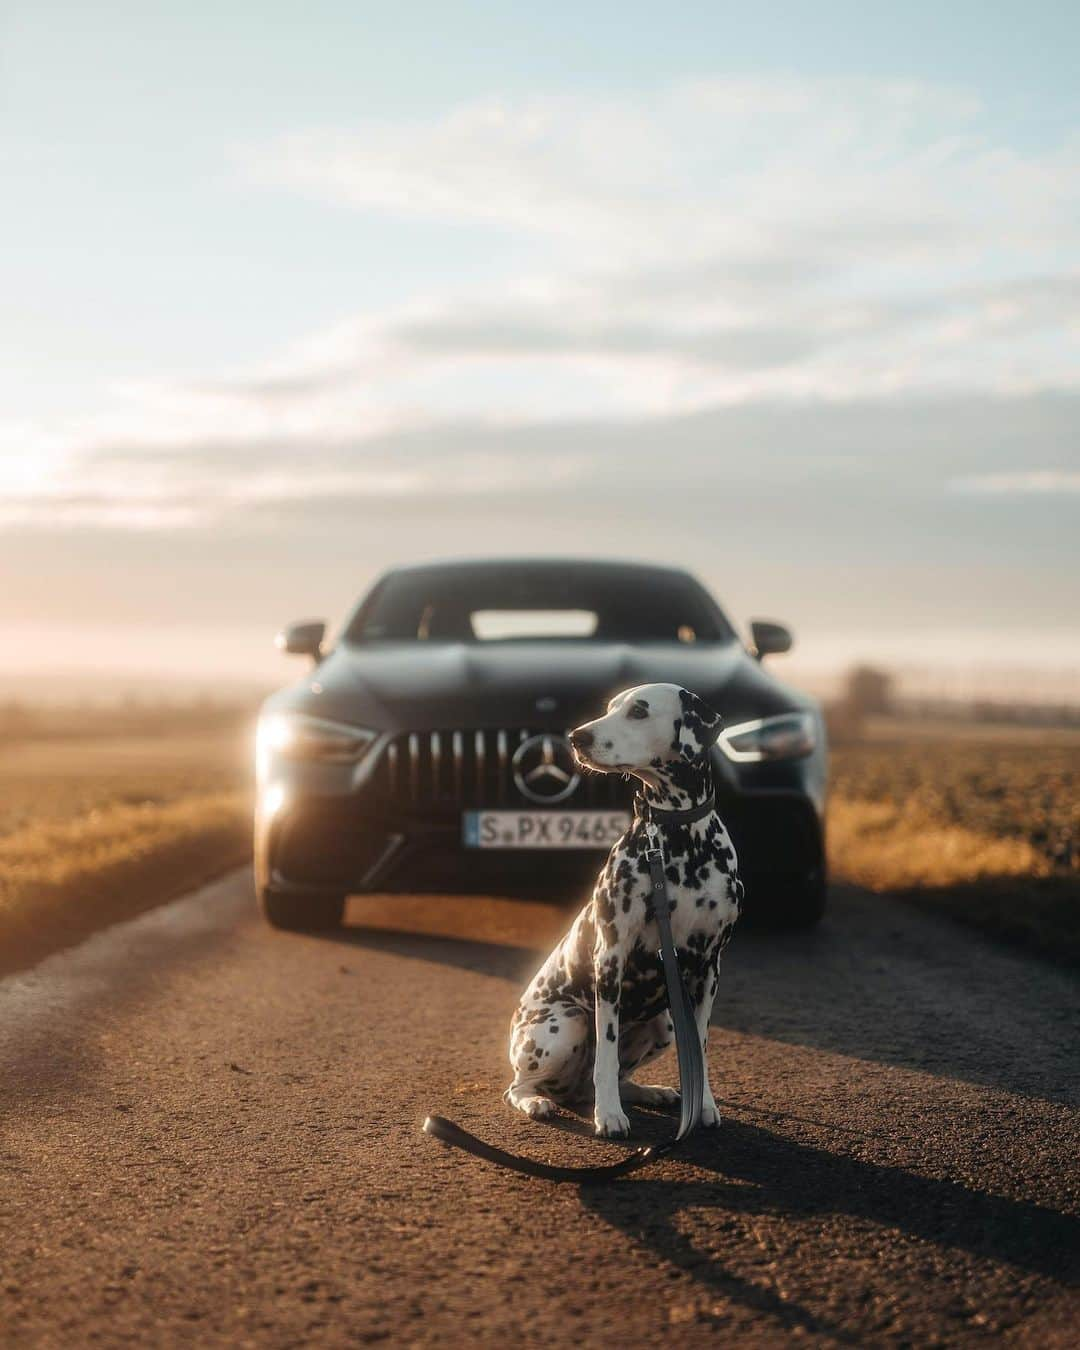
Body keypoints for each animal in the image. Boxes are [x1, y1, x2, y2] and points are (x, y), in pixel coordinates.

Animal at [507, 680, 745, 1134]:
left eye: (639, 710)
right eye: (609, 707)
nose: (575, 738)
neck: (676, 839)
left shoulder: (710, 965)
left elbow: (701, 1049)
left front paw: (703, 1104)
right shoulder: (610, 958)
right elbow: (607, 1050)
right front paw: (609, 1115)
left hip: (664, 1023)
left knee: (619, 1076)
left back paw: (649, 1092)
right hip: (565, 1025)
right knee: (520, 1086)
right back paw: (539, 1102)